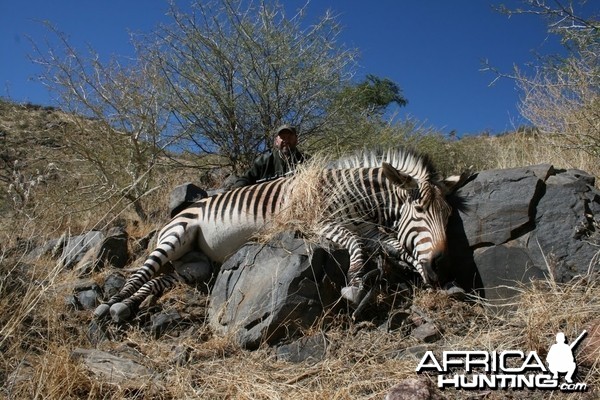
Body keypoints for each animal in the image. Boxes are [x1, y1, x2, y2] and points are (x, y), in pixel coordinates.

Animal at [95, 148, 468, 324]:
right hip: (176, 237)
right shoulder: (320, 223)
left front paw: (429, 276)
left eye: (448, 217)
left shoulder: (370, 229)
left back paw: (125, 307)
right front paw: (355, 285)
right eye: (419, 210)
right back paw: (108, 305)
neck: (358, 196)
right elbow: (355, 245)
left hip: (195, 266)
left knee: (156, 281)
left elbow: (396, 247)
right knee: (141, 272)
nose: (441, 265)